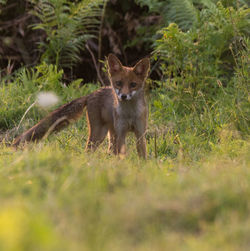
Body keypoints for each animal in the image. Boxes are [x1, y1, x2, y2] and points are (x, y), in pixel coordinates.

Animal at [12, 54, 149, 158]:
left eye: (133, 85)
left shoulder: (140, 133)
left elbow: (142, 155)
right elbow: (121, 155)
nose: (124, 96)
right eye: (119, 83)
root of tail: (90, 94)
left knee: (109, 151)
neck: (130, 114)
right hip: (99, 134)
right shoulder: (121, 133)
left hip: (109, 134)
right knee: (89, 150)